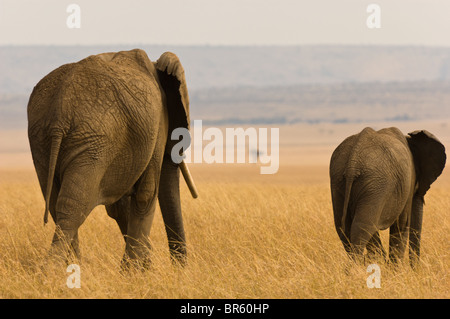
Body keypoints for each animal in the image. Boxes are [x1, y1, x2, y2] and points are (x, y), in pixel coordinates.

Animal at [28, 48, 197, 268]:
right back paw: (55, 270)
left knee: (57, 204)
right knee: (72, 206)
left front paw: (140, 268)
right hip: (95, 141)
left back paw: (72, 267)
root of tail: (59, 113)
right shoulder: (158, 124)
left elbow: (121, 205)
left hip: (43, 141)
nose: (178, 269)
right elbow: (146, 194)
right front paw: (133, 271)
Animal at [330, 127, 446, 268]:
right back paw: (356, 268)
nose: (416, 269)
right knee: (362, 227)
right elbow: (402, 225)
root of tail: (353, 162)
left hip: (339, 180)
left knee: (345, 228)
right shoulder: (408, 180)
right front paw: (393, 269)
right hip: (375, 183)